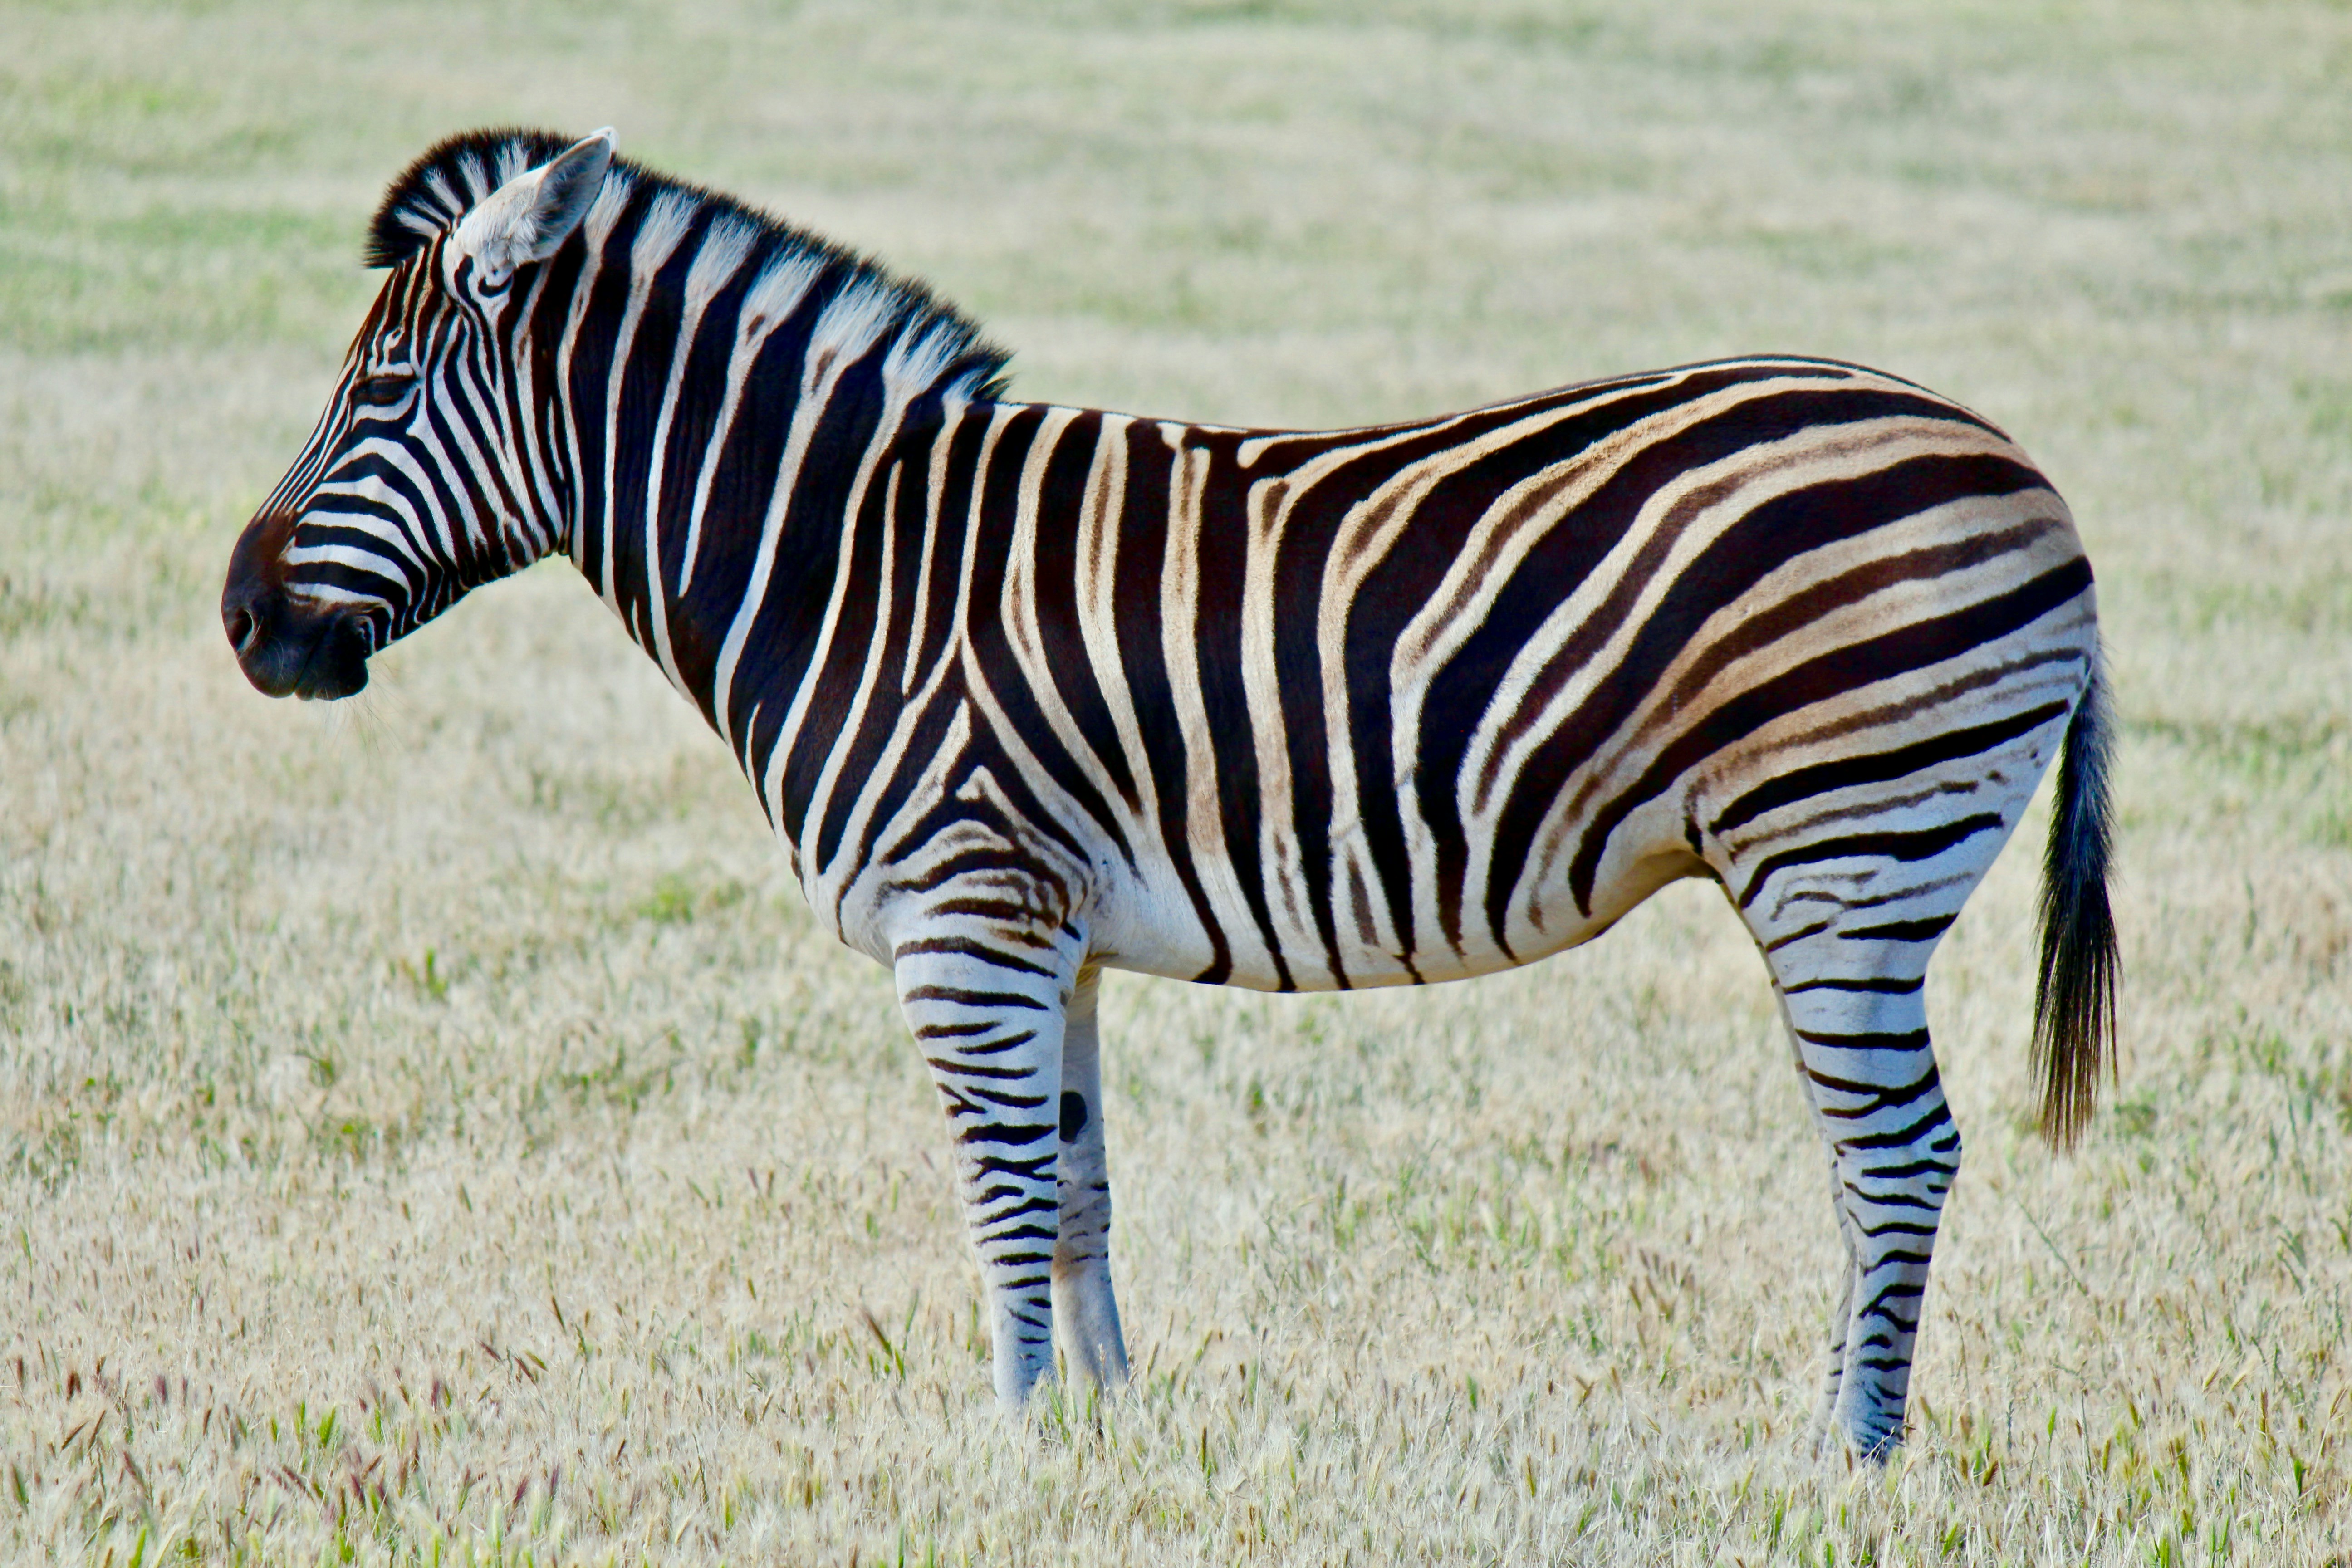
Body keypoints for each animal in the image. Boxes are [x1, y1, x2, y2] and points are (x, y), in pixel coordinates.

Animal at [221, 127, 2116, 1459]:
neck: (850, 562)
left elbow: (996, 1191)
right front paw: (1107, 1433)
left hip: (1845, 854)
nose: (241, 622)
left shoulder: (963, 920)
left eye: (376, 388)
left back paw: (1847, 1454)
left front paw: (1002, 1443)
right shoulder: (1040, 931)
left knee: (1895, 1153)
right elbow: (1073, 1189)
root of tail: (2025, 472)